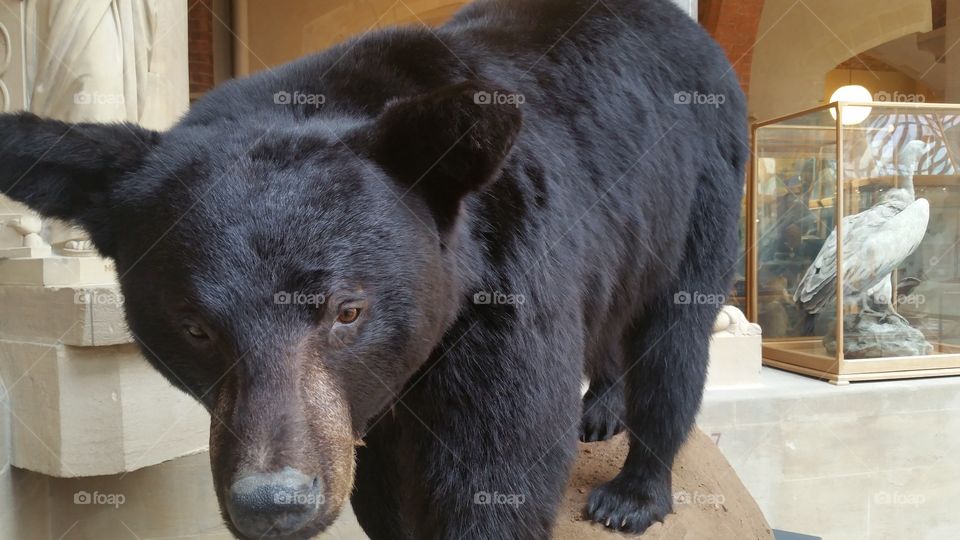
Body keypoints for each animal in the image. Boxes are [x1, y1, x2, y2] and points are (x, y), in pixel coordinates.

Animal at [0, 0, 746, 538]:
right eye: (194, 328)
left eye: (348, 310)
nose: (275, 503)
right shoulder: (360, 408)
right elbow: (380, 487)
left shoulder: (508, 283)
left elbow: (496, 462)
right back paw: (601, 406)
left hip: (699, 190)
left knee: (675, 342)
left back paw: (632, 493)